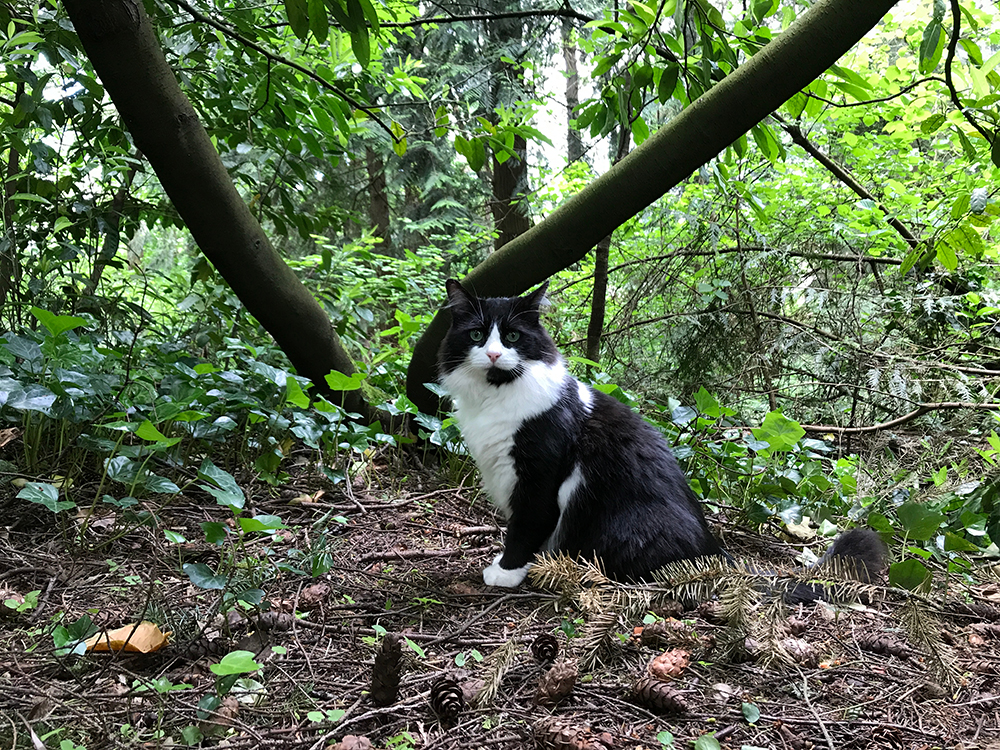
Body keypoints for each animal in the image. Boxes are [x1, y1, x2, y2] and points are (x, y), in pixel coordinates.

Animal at [438, 280, 884, 592]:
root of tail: (713, 550)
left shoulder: (539, 477)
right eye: (477, 335)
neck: (495, 398)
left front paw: (507, 572)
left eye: (512, 337)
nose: (494, 354)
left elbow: (526, 526)